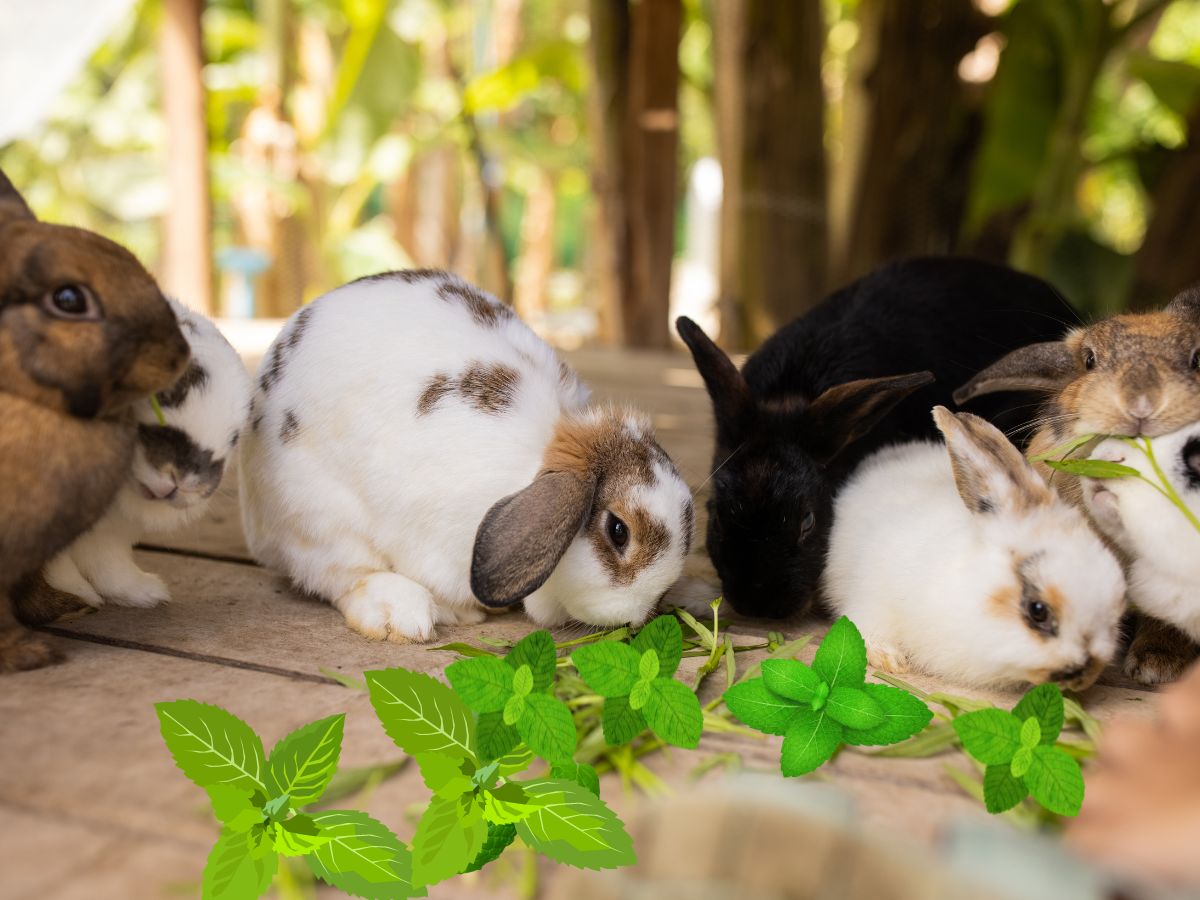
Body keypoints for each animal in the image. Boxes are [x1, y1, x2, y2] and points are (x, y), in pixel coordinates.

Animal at [39, 298, 252, 609]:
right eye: (165, 396)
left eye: (234, 437)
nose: (182, 481)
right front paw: (75, 594)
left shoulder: (107, 534)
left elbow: (108, 562)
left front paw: (144, 593)